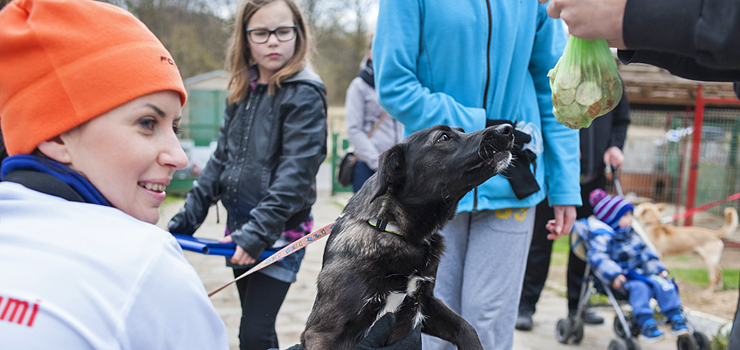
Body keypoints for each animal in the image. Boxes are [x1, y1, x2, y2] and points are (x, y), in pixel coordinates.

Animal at [300, 124, 516, 348]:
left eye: (462, 130)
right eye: (443, 137)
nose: (508, 128)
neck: (394, 230)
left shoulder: (424, 302)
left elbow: (466, 327)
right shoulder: (321, 334)